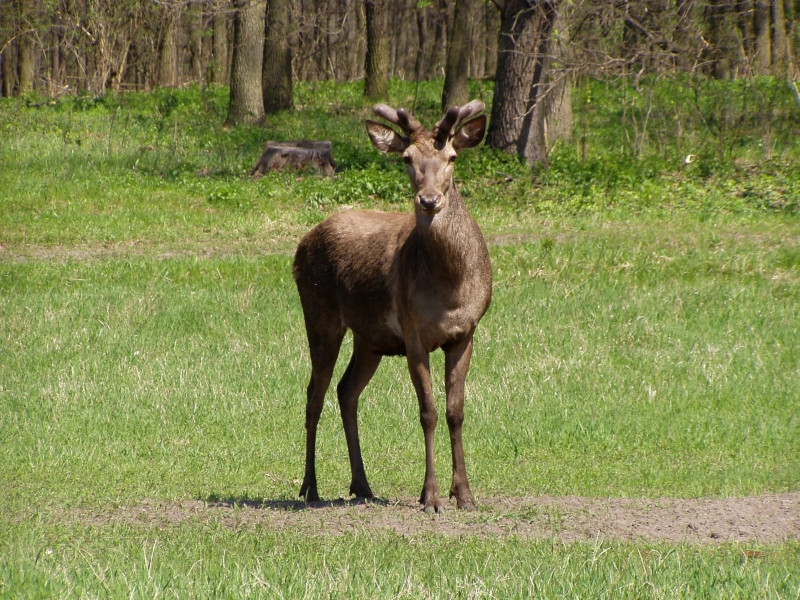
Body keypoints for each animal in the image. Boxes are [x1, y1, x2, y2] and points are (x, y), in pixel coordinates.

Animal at [292, 101, 490, 512]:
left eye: (452, 157)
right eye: (406, 158)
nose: (429, 201)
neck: (452, 289)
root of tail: (301, 244)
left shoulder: (466, 333)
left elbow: (456, 411)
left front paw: (465, 494)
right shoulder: (414, 334)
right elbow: (428, 412)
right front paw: (431, 497)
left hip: (370, 338)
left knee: (346, 390)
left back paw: (362, 484)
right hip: (319, 314)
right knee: (314, 394)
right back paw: (310, 487)